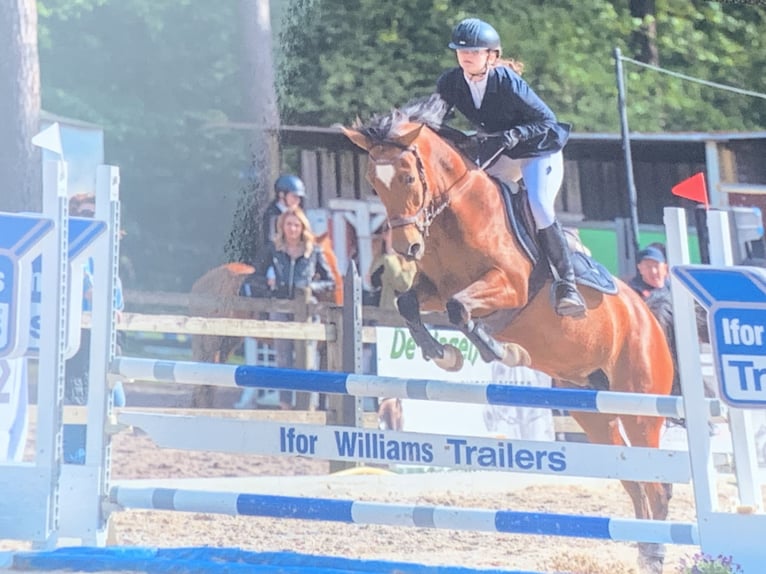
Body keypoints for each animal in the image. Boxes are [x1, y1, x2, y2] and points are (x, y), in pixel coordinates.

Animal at [344, 94, 676, 574]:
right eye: (374, 182)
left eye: (407, 176)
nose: (407, 248)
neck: (456, 219)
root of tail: (649, 318)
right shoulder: (432, 287)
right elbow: (411, 304)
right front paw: (444, 354)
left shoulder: (509, 286)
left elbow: (460, 309)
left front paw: (504, 351)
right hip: (592, 409)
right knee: (632, 477)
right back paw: (647, 550)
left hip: (640, 404)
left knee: (656, 481)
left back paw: (657, 551)